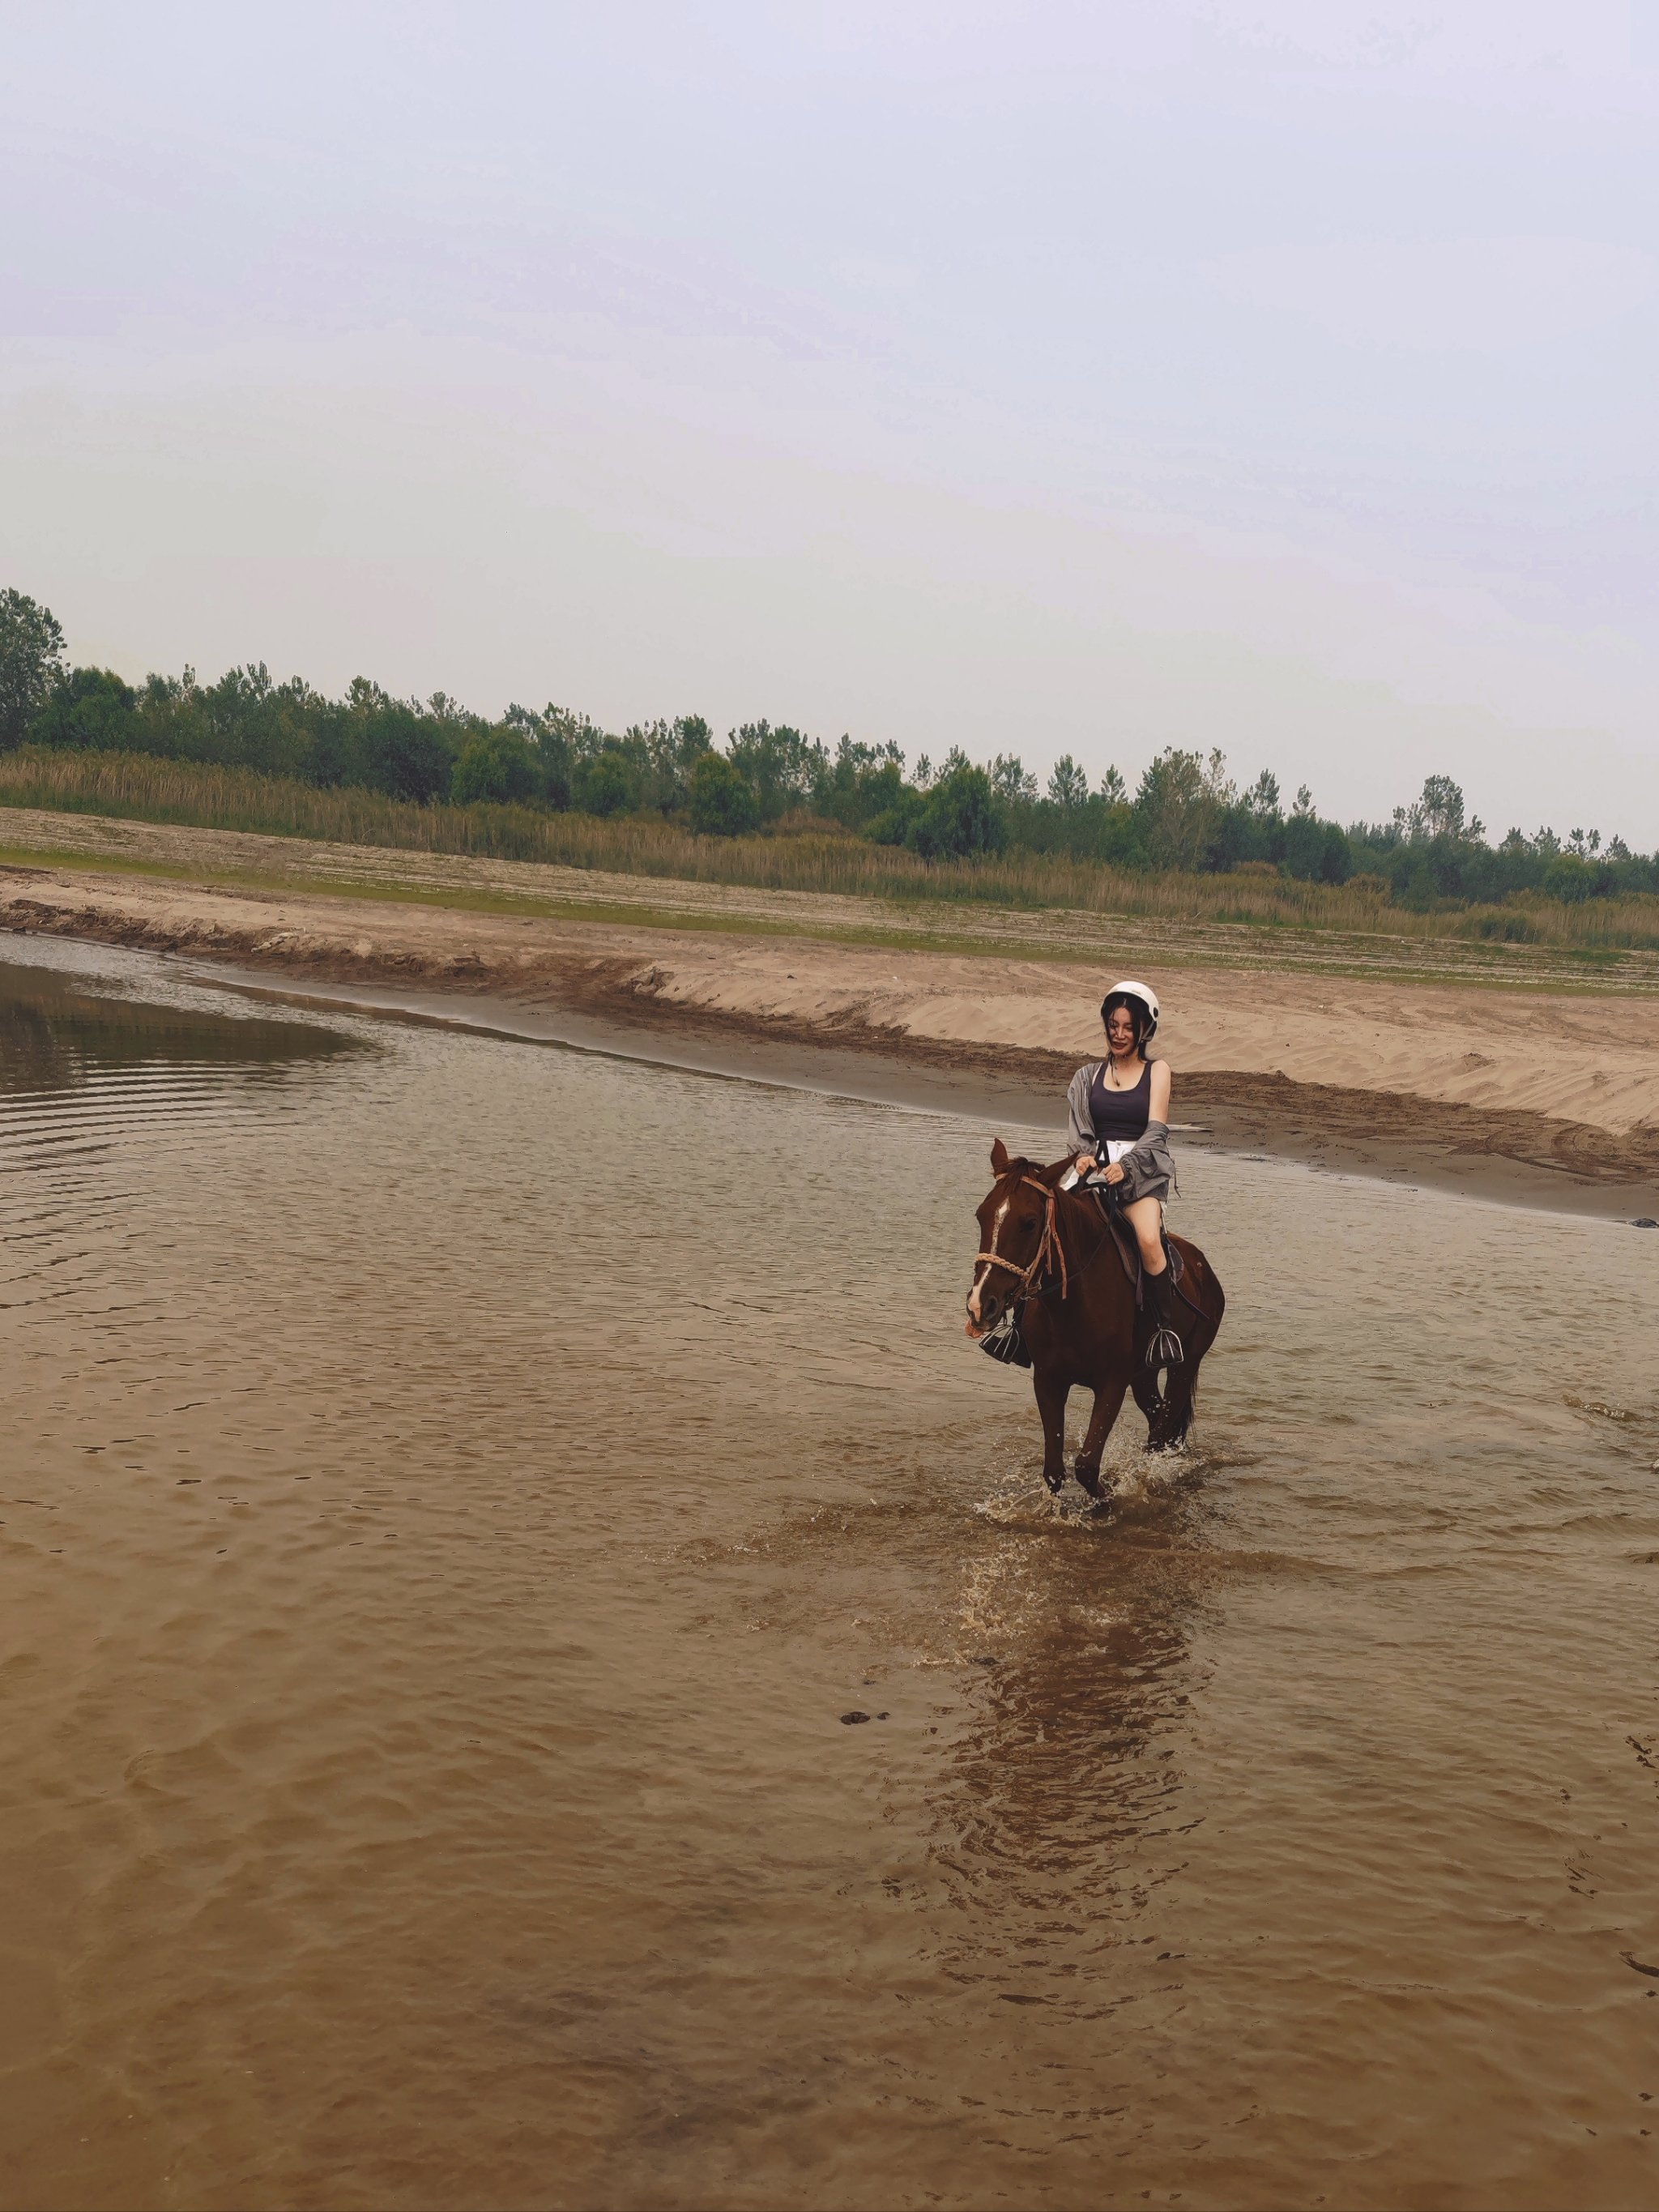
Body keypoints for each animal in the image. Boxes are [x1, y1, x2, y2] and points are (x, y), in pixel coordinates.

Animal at [969, 1150, 1230, 1495]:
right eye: (981, 1216)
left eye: (1030, 1223)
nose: (980, 1305)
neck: (1074, 1306)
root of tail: (1203, 1267)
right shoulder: (1049, 1380)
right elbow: (1054, 1471)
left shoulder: (1112, 1384)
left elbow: (1087, 1466)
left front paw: (1107, 1499)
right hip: (1143, 1376)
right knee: (1158, 1419)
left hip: (1184, 1366)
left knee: (1163, 1429)